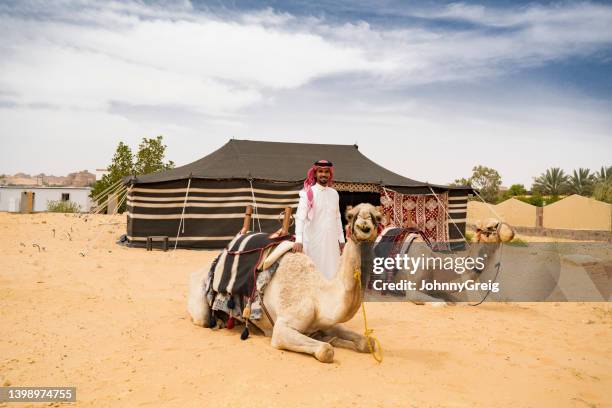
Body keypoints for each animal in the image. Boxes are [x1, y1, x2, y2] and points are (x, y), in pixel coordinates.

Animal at [189, 203, 382, 364]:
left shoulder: (328, 323)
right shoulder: (282, 329)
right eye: (350, 216)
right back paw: (219, 322)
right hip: (200, 304)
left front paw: (332, 338)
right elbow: (326, 350)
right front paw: (327, 342)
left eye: (378, 217)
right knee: (203, 318)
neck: (317, 297)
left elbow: (368, 342)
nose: (364, 224)